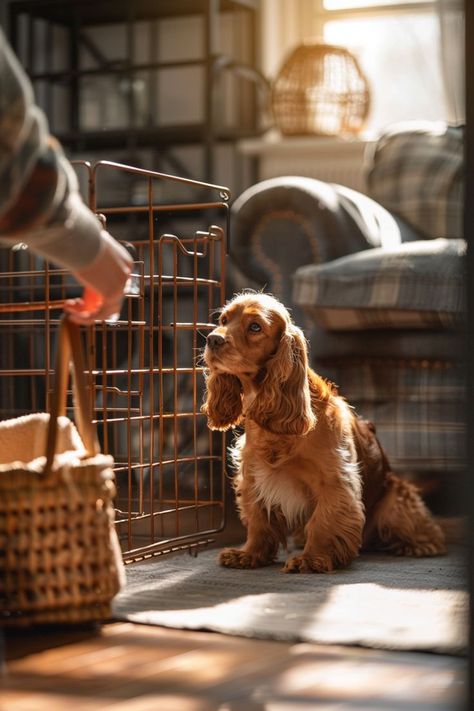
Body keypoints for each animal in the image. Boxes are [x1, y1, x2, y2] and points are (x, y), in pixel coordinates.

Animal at [202, 292, 446, 576]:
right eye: (223, 320)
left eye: (255, 327)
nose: (212, 339)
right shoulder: (253, 477)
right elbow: (258, 521)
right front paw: (249, 554)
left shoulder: (334, 482)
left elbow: (323, 522)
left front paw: (311, 559)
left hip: (397, 500)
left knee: (423, 529)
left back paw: (419, 546)